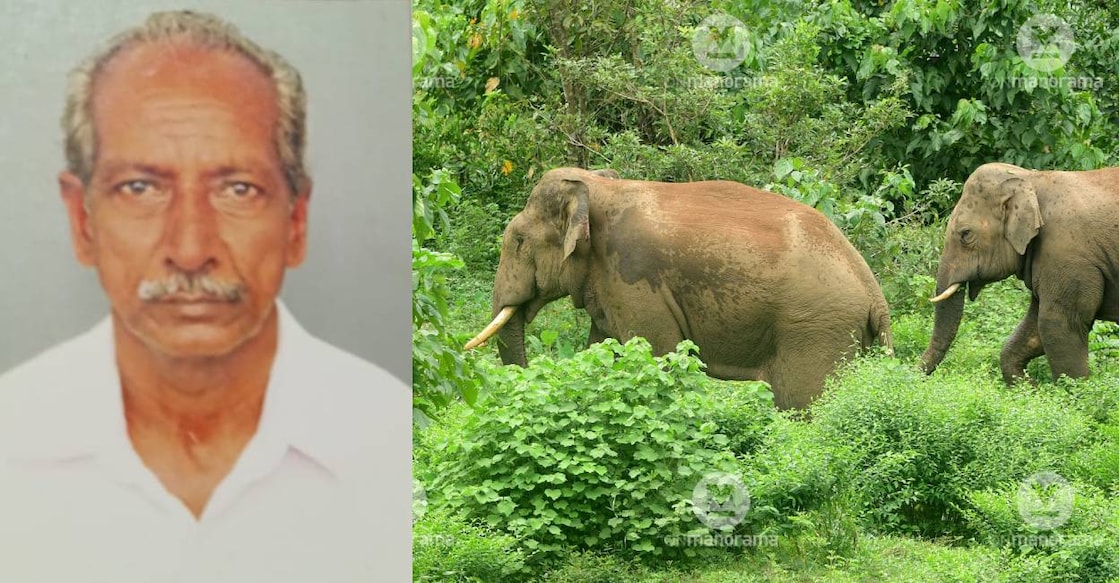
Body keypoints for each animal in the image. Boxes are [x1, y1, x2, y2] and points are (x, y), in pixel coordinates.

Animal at [464, 167, 894, 410]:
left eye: (518, 241)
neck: (600, 187)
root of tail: (875, 293)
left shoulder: (634, 278)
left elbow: (654, 354)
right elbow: (605, 350)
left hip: (815, 329)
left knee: (802, 404)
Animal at [920, 162, 1119, 383]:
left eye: (965, 234)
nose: (915, 372)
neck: (1031, 179)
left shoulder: (1067, 257)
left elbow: (1056, 323)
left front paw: (1074, 388)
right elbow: (1035, 330)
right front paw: (1029, 386)